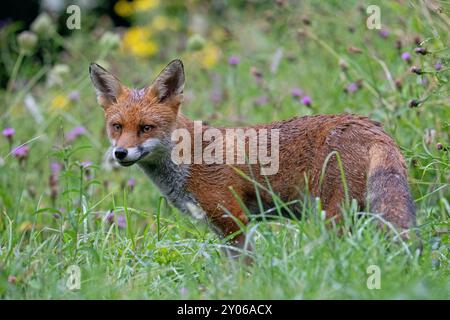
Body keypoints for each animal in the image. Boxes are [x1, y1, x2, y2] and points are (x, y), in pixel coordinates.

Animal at [89, 58, 416, 251]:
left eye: (146, 128)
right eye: (117, 127)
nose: (120, 153)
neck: (187, 161)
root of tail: (371, 126)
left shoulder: (233, 218)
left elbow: (245, 268)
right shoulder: (219, 225)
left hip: (332, 214)